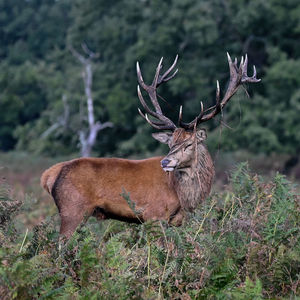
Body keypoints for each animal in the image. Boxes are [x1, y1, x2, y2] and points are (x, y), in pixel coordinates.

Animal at [40, 52, 260, 238]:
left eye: (189, 144)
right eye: (171, 143)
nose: (166, 162)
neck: (183, 197)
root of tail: (49, 175)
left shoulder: (176, 220)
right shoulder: (154, 214)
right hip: (72, 210)